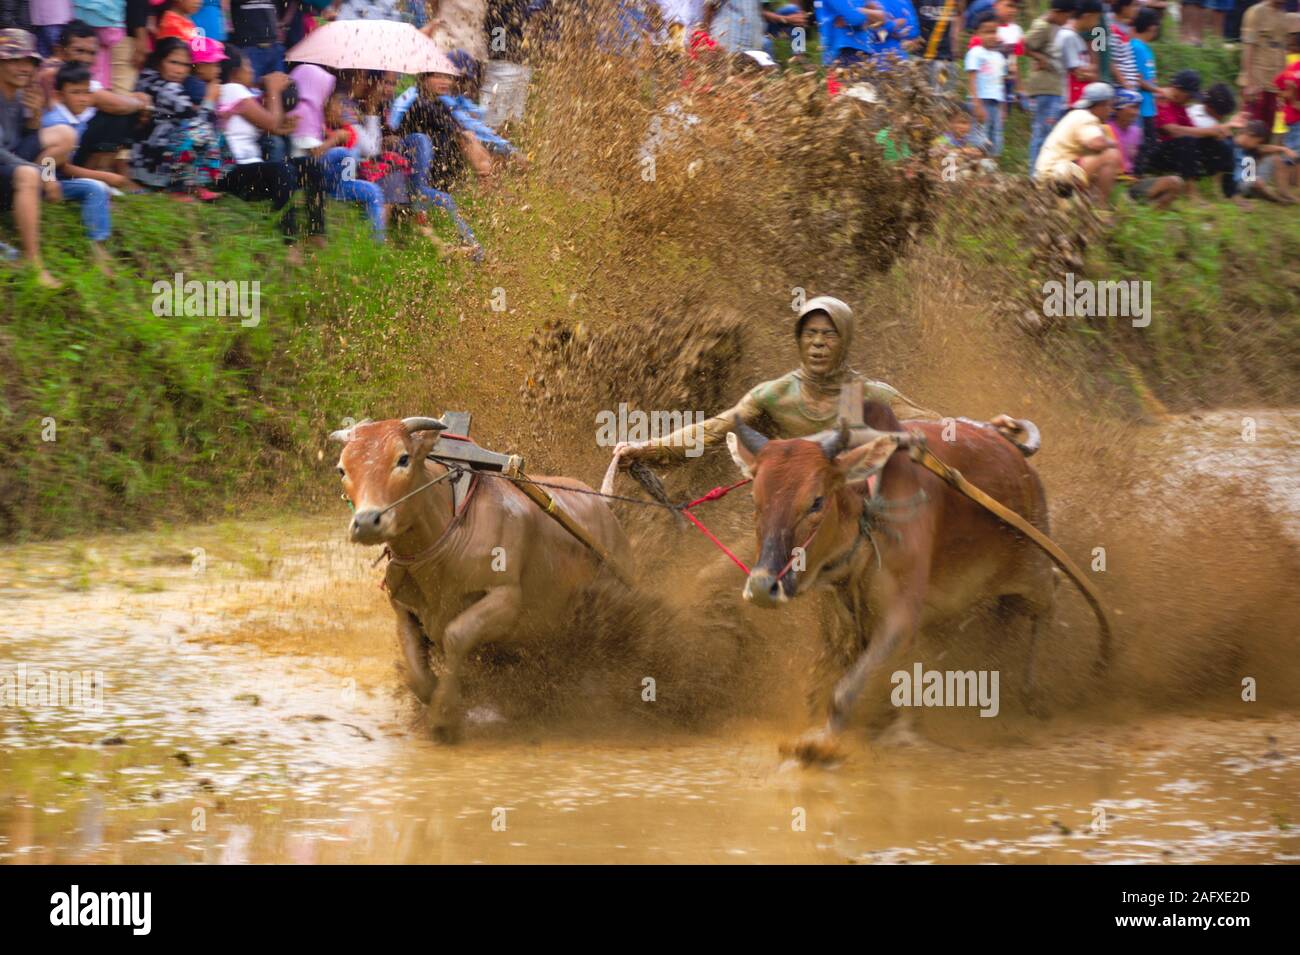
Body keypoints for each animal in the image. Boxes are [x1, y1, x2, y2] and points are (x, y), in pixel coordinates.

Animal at [332, 415, 631, 738]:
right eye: (342, 469)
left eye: (403, 458)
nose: (366, 522)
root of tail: (606, 508)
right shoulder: (403, 610)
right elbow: (416, 673)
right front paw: (433, 696)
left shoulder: (505, 599)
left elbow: (456, 635)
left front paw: (444, 714)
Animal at [733, 402, 1055, 764]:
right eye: (755, 501)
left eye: (816, 501)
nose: (762, 587)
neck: (868, 513)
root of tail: (1016, 456)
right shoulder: (841, 622)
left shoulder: (900, 619)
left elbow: (845, 691)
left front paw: (821, 744)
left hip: (1033, 571)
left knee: (1050, 596)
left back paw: (1033, 692)